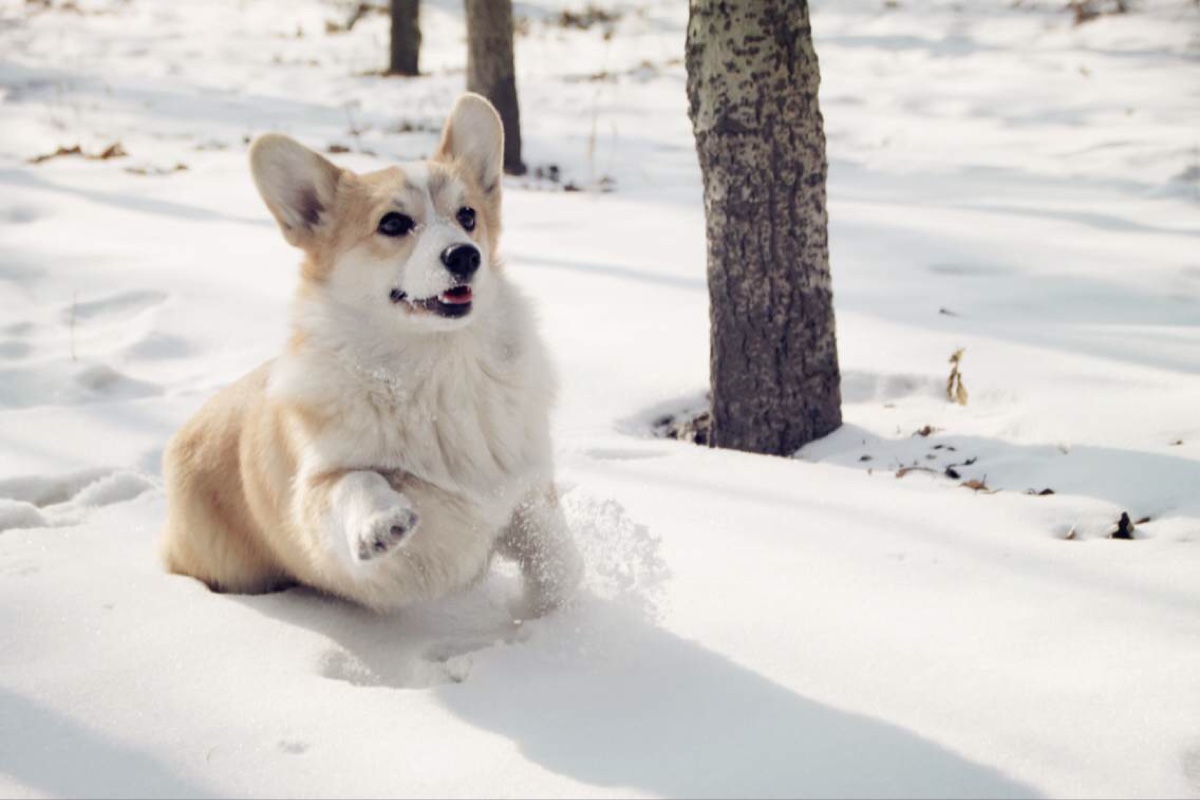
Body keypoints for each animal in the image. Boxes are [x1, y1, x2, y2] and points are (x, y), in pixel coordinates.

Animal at [162, 94, 583, 618]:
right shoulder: (319, 495)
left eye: (467, 215)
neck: (436, 364)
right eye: (393, 223)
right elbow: (356, 480)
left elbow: (556, 558)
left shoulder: (525, 489)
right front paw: (381, 522)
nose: (465, 256)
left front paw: (553, 620)